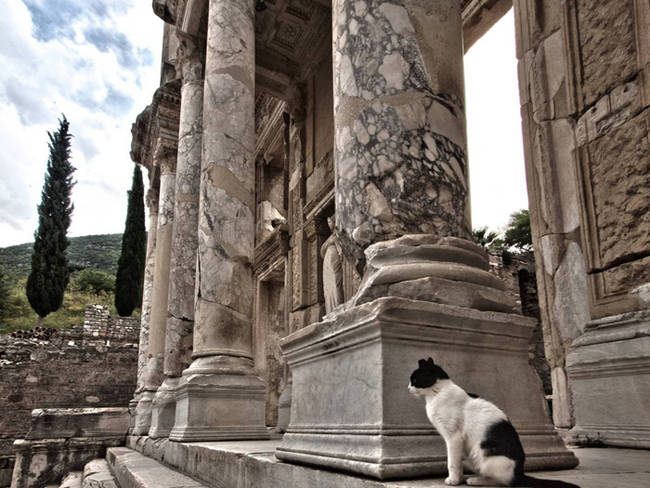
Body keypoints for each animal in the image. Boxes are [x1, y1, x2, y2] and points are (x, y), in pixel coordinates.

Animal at [408, 356, 580, 486]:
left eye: (414, 379)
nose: (408, 388)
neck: (437, 393)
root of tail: (519, 473)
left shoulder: (453, 438)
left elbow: (452, 461)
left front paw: (454, 480)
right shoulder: (457, 443)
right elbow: (456, 462)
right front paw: (459, 478)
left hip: (481, 455)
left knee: (504, 482)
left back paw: (476, 480)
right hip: (470, 455)